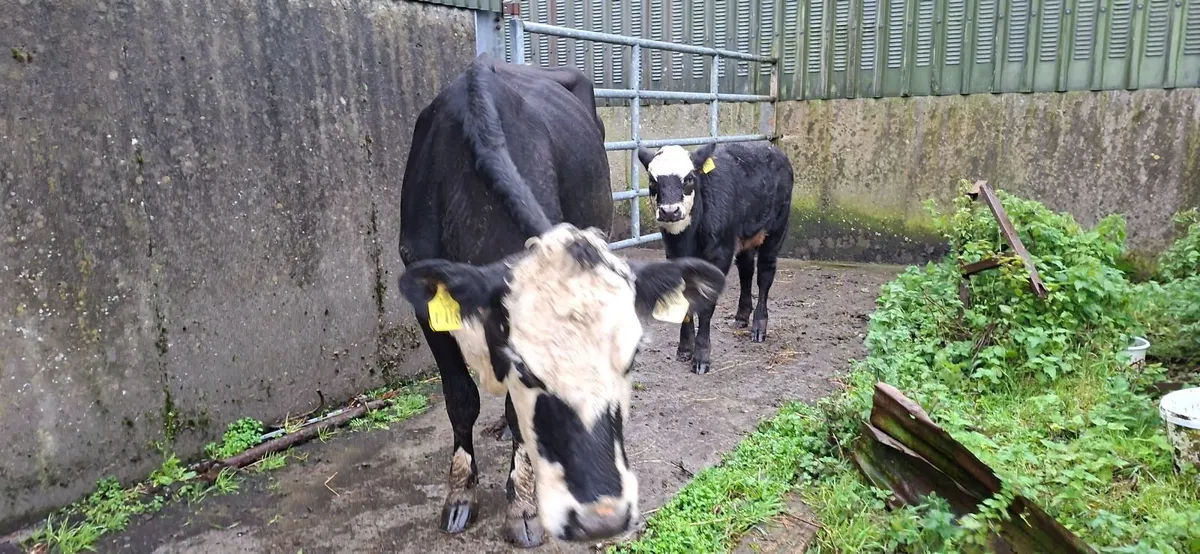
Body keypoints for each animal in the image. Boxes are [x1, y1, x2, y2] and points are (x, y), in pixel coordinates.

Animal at [396, 54, 727, 548]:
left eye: (629, 359)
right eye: (529, 369)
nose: (603, 517)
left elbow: (516, 415)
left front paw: (522, 505)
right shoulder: (425, 301)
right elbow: (460, 397)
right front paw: (460, 493)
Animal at [636, 141, 794, 374]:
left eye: (689, 178)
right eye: (652, 180)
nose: (669, 211)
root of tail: (769, 146)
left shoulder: (720, 256)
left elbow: (706, 304)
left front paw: (701, 356)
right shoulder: (675, 255)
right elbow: (686, 298)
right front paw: (685, 348)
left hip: (776, 230)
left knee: (765, 274)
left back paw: (759, 326)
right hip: (744, 237)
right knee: (746, 270)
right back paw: (741, 316)